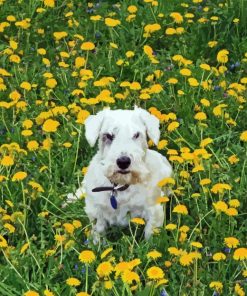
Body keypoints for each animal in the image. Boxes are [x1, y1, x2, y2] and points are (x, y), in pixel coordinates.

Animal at [66, 107, 173, 242]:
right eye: (108, 135)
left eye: (136, 134)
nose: (123, 161)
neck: (120, 185)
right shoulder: (96, 213)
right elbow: (98, 233)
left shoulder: (153, 211)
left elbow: (151, 237)